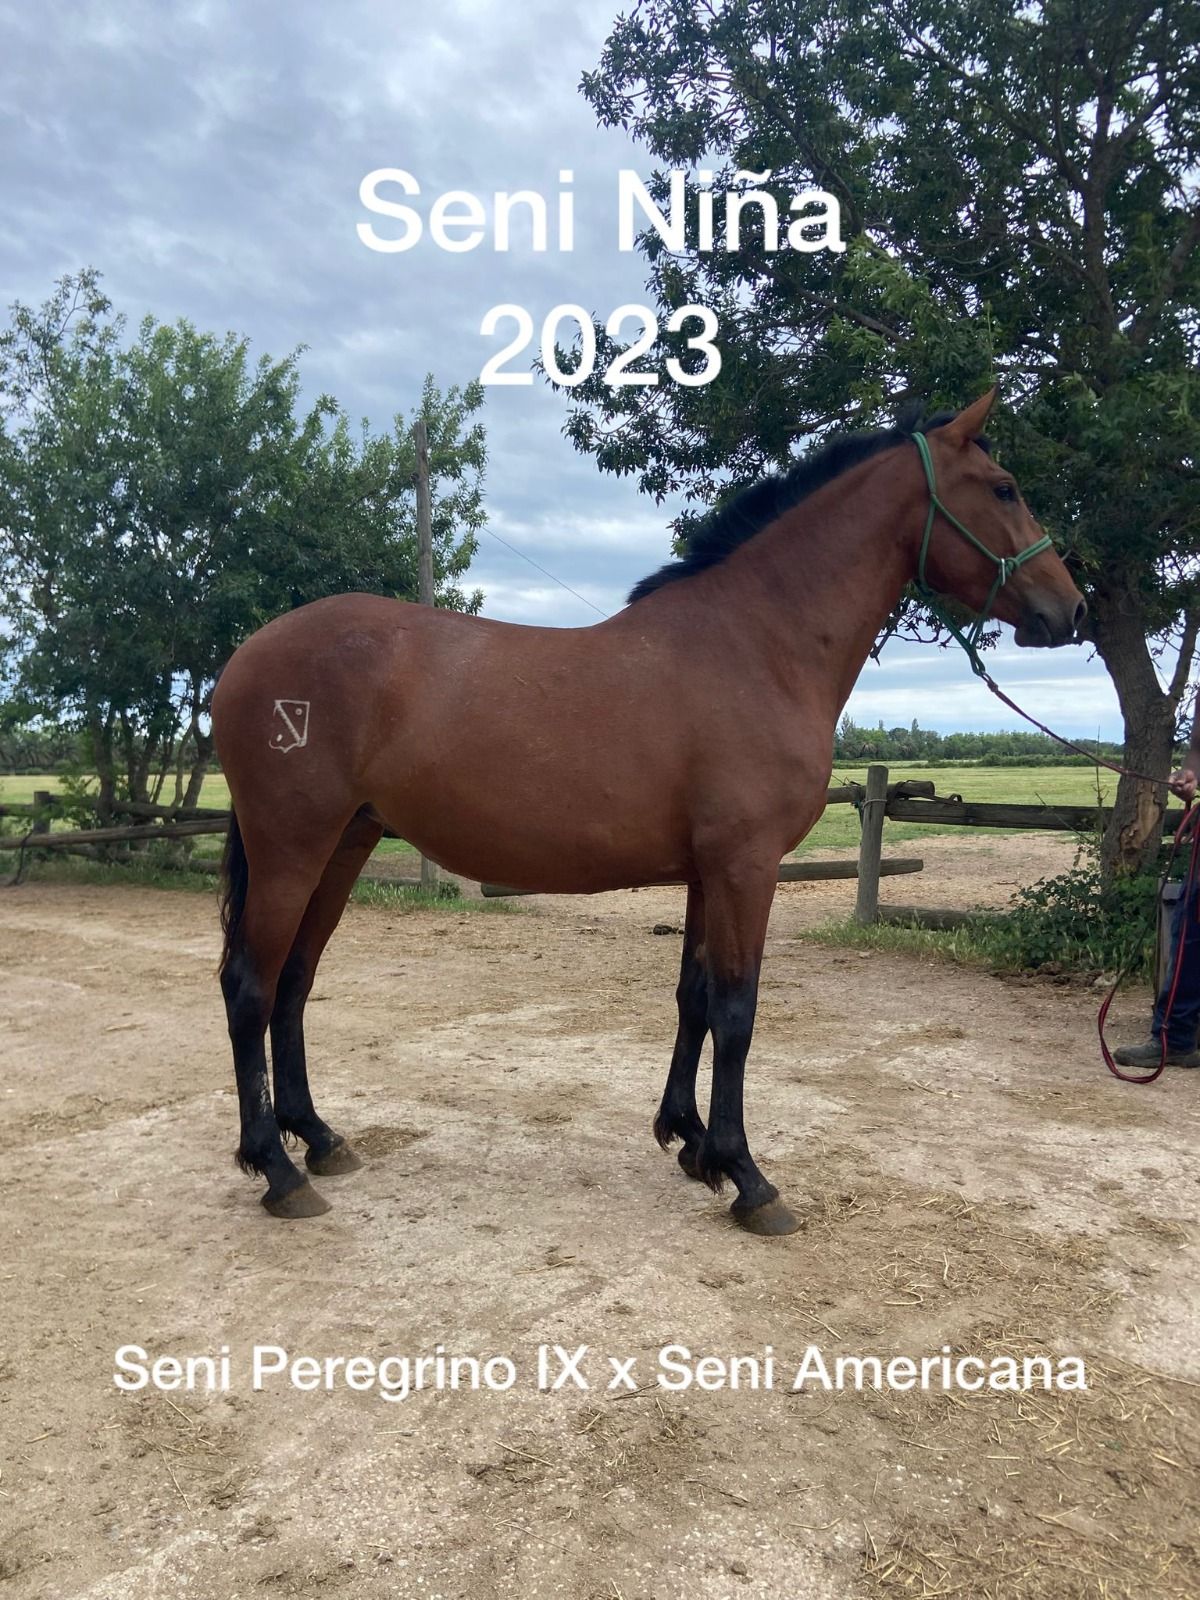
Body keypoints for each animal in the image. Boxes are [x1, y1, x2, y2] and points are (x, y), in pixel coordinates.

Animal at [211, 388, 1085, 1236]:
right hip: (294, 848)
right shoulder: (746, 866)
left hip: (345, 844)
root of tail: (246, 656)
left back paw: (318, 1138)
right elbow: (737, 1009)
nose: (1070, 609)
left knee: (294, 981)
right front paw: (748, 1178)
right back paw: (278, 1170)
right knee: (251, 986)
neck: (758, 644)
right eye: (1004, 487)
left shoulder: (707, 872)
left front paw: (691, 1142)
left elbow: (694, 997)